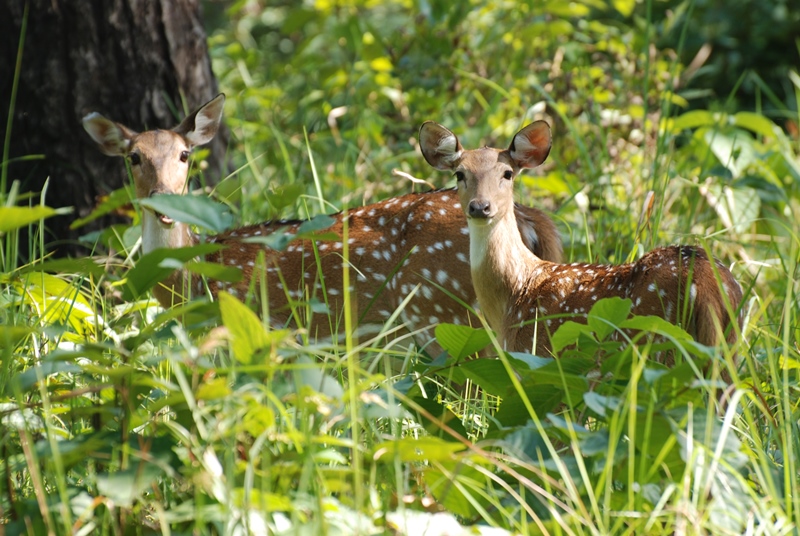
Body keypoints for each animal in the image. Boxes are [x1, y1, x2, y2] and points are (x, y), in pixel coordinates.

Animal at [83, 93, 564, 344]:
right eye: (133, 157)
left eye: (185, 155)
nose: (163, 200)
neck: (191, 280)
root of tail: (528, 217)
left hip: (446, 312)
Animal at [418, 119, 744, 358]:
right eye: (460, 174)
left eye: (508, 173)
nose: (480, 206)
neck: (517, 292)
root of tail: (707, 283)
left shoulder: (537, 358)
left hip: (655, 345)